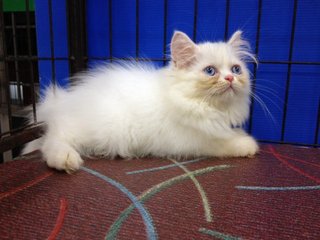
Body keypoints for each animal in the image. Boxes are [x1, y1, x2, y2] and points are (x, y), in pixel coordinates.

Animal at [24, 30, 260, 172]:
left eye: (236, 69)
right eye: (210, 71)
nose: (230, 79)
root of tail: (62, 101)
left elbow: (227, 132)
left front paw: (240, 134)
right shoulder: (194, 140)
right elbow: (223, 143)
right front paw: (247, 144)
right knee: (51, 138)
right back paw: (65, 159)